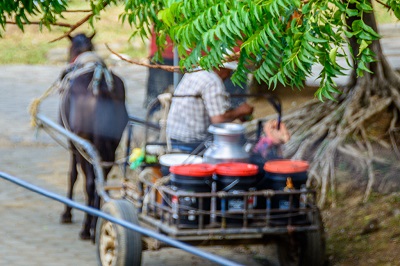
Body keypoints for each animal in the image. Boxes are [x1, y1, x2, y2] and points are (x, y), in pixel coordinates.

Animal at [59, 32, 128, 240]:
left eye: (69, 49)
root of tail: (101, 84)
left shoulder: (73, 143)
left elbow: (72, 175)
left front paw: (67, 213)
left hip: (86, 144)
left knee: (90, 183)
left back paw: (86, 228)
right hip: (111, 145)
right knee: (101, 181)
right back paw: (97, 223)